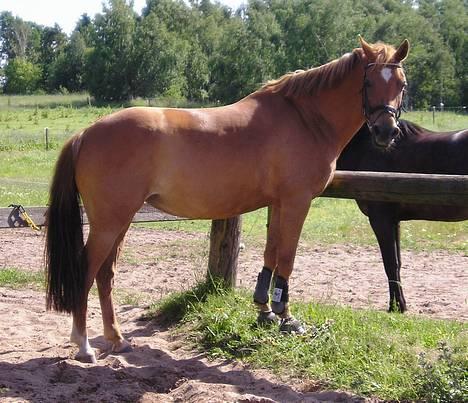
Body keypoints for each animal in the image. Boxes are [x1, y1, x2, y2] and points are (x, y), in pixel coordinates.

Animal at [45, 38, 408, 364]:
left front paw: (265, 310)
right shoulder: (297, 201)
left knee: (106, 275)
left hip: (120, 221)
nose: (386, 132)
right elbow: (287, 258)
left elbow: (271, 254)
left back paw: (116, 338)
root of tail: (85, 134)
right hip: (109, 223)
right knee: (86, 272)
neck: (305, 117)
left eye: (401, 83)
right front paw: (286, 317)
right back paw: (84, 346)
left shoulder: (277, 203)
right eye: (369, 82)